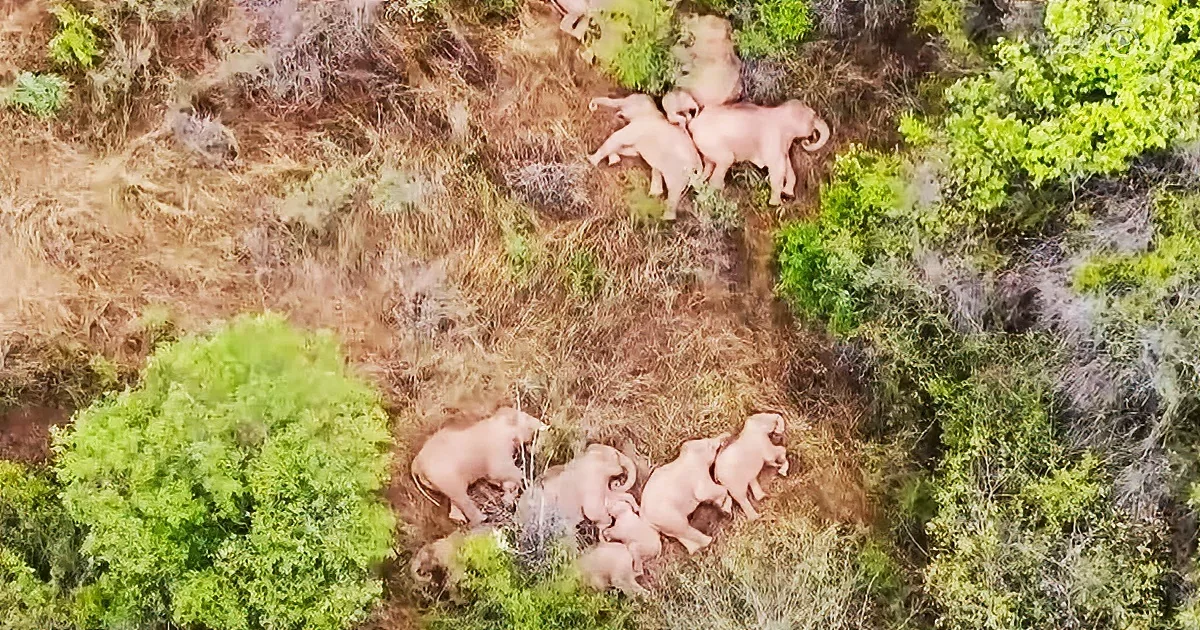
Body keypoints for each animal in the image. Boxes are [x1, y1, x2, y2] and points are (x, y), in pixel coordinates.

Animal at [411, 407, 549, 525]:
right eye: (526, 418)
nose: (544, 425)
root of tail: (415, 464)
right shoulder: (497, 447)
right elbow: (500, 471)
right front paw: (527, 482)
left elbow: (494, 478)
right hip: (444, 474)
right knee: (460, 495)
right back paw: (482, 519)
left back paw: (460, 520)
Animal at [687, 100, 831, 206]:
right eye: (813, 115)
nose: (807, 140)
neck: (780, 111)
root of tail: (692, 124)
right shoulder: (773, 137)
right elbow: (778, 166)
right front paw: (776, 204)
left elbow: (787, 163)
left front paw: (788, 194)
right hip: (713, 143)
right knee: (724, 162)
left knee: (708, 166)